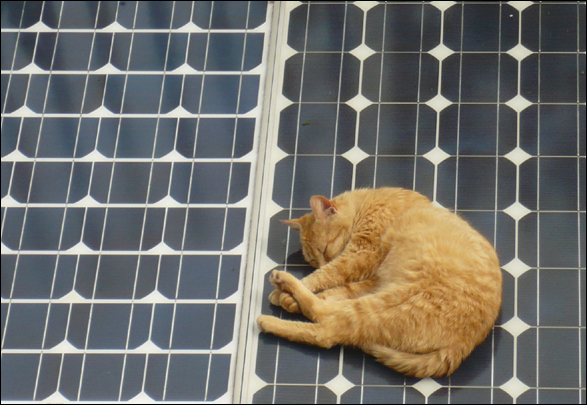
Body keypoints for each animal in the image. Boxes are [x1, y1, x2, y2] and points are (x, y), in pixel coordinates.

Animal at [257, 187, 502, 378]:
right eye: (313, 260)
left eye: (324, 250)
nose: (321, 262)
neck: (368, 202)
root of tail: (462, 346)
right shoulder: (373, 278)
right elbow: (338, 289)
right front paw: (288, 299)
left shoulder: (361, 254)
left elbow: (326, 277)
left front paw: (285, 293)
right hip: (385, 297)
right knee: (329, 318)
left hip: (387, 303)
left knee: (326, 328)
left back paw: (275, 299)